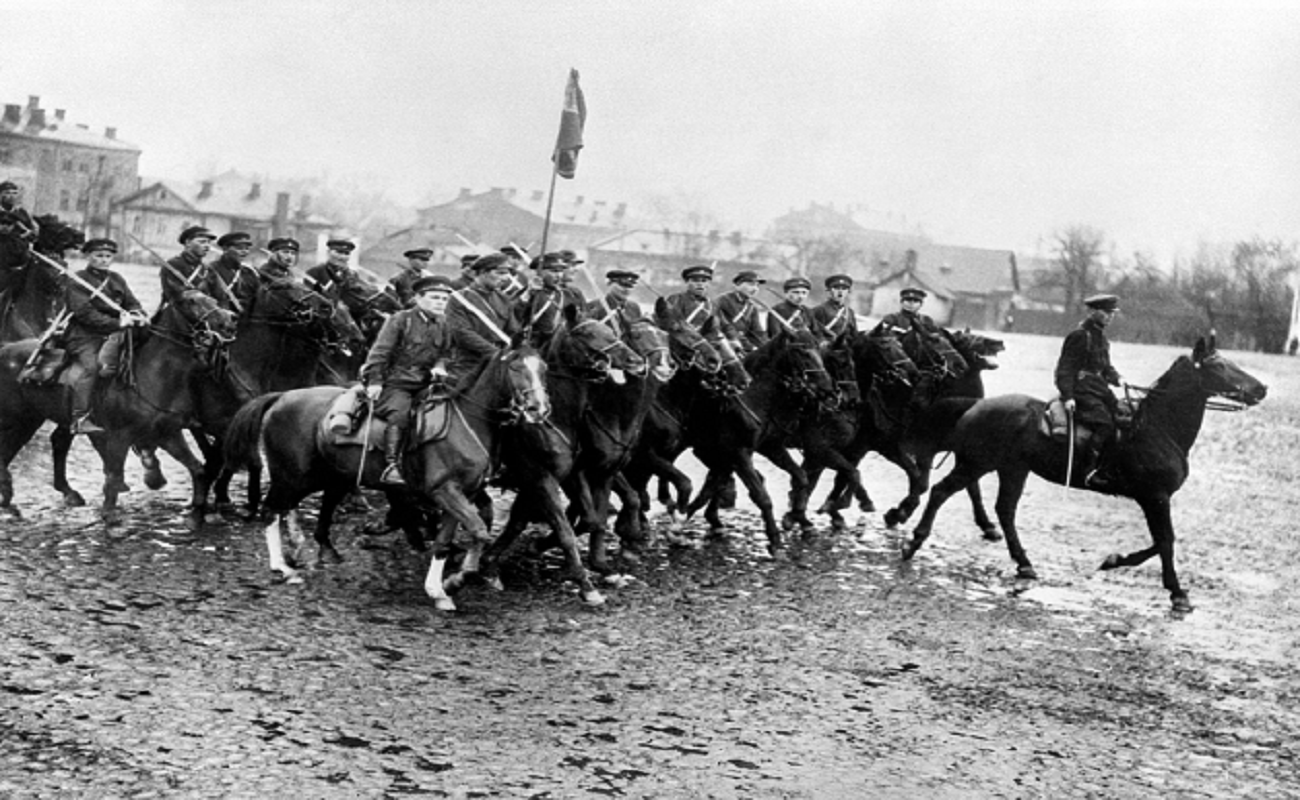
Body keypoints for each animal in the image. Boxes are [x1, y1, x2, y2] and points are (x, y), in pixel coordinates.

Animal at [0, 290, 237, 525]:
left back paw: (64, 492)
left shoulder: (168, 433)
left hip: (36, 418)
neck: (151, 374)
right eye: (191, 302)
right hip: (16, 419)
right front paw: (109, 515)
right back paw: (8, 492)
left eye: (212, 299)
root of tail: (6, 348)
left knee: (56, 442)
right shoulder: (120, 436)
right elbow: (114, 476)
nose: (230, 319)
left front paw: (197, 512)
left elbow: (198, 470)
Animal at [899, 333, 1263, 613]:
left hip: (1013, 469)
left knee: (1005, 511)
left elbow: (1160, 542)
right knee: (941, 492)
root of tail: (975, 405)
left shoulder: (1152, 499)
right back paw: (914, 541)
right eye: (1219, 365)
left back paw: (1024, 563)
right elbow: (1166, 541)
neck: (1158, 428)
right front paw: (1177, 592)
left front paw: (1114, 560)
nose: (1261, 389)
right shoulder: (1155, 498)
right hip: (976, 464)